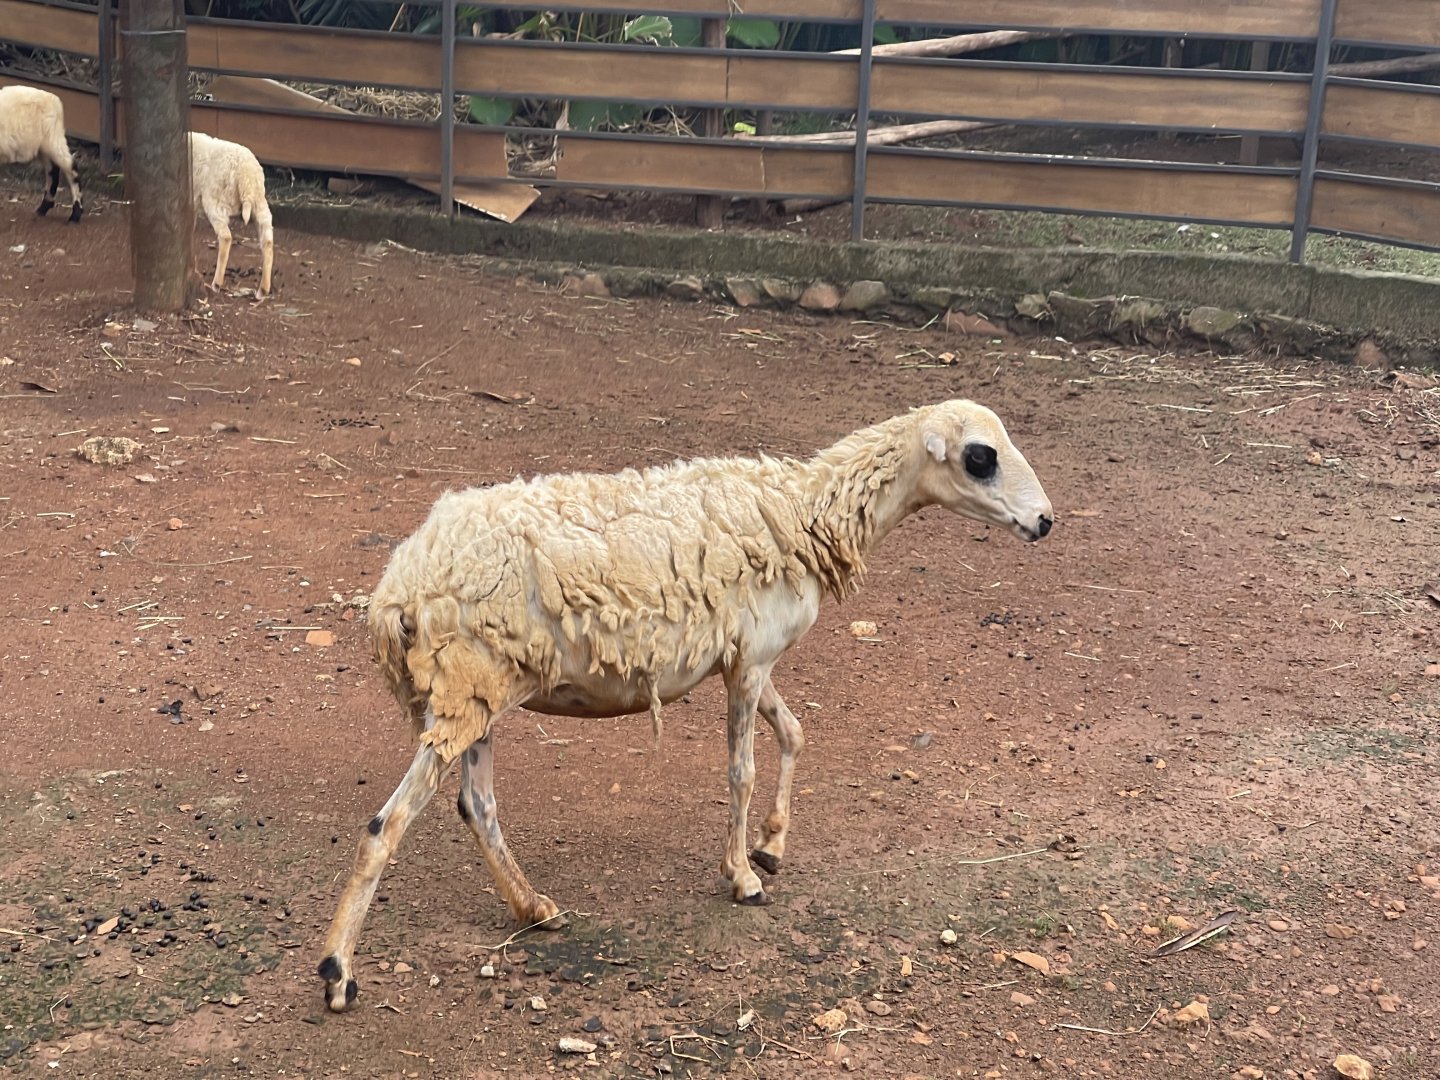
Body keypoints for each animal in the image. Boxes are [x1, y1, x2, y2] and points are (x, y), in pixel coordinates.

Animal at [0, 86, 83, 222]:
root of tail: (55, 101)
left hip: (53, 138)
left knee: (71, 168)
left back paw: (75, 215)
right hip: (43, 146)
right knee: (53, 171)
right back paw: (43, 208)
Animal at [187, 131, 273, 298]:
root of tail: (247, 177)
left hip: (216, 201)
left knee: (225, 237)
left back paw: (216, 283)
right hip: (260, 203)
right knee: (268, 241)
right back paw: (263, 289)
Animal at [317, 398, 1054, 1012]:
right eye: (980, 456)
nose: (1045, 521)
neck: (805, 508)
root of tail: (396, 590)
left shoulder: (748, 656)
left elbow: (795, 733)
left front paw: (772, 844)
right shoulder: (750, 661)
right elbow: (742, 772)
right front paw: (744, 878)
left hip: (469, 695)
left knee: (477, 805)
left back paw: (534, 909)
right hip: (466, 691)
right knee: (387, 826)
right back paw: (337, 972)